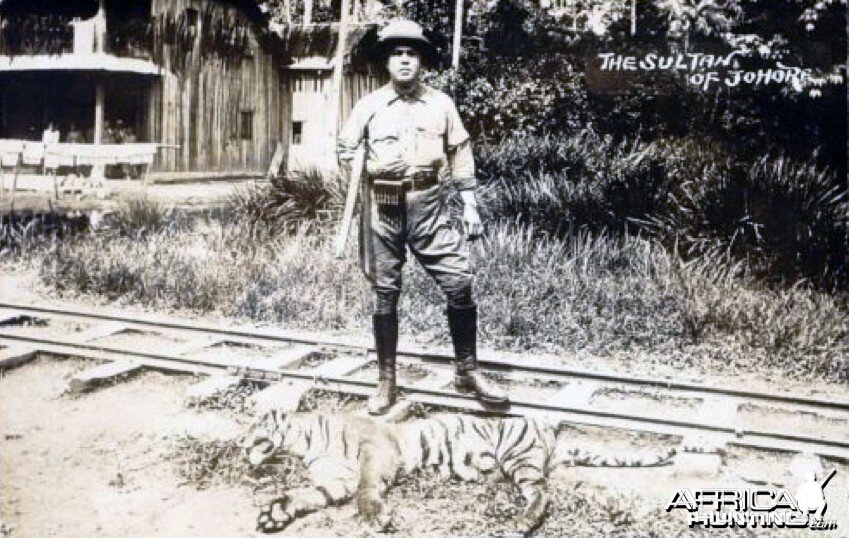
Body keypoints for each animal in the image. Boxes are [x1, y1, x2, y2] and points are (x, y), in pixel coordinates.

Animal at [238, 408, 676, 532]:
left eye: (253, 425)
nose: (240, 446)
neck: (305, 443)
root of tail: (548, 430)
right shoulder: (334, 479)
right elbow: (306, 495)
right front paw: (274, 513)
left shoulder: (376, 451)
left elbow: (366, 488)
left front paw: (377, 517)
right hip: (537, 465)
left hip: (519, 457)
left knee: (542, 494)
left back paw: (523, 521)